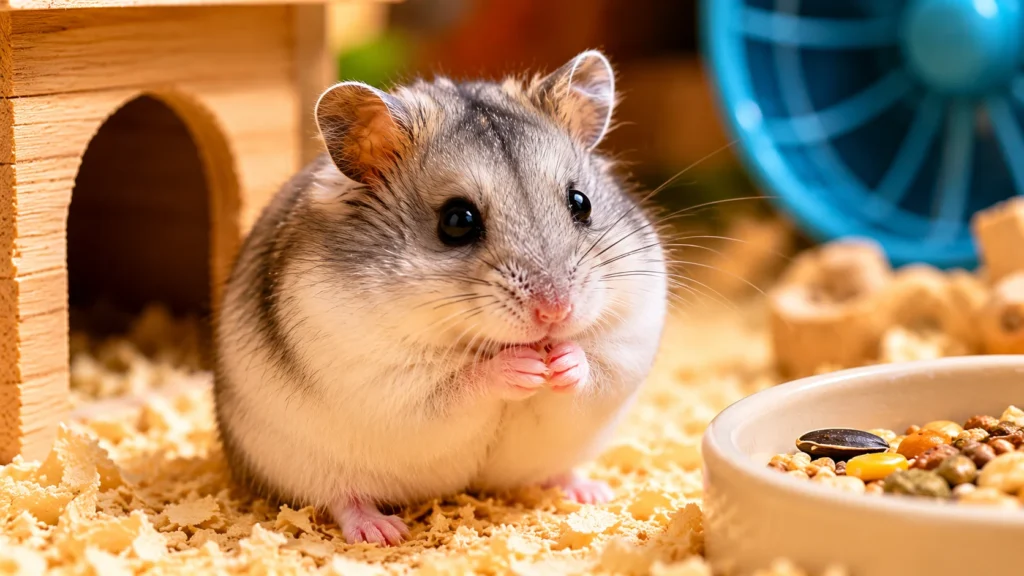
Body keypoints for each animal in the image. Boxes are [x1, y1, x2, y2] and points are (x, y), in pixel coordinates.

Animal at [213, 50, 668, 546]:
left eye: (581, 203)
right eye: (457, 221)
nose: (555, 311)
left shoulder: (630, 340)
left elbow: (596, 366)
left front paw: (562, 360)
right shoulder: (388, 379)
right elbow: (462, 380)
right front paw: (525, 366)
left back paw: (590, 492)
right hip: (307, 467)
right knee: (342, 498)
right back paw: (382, 532)